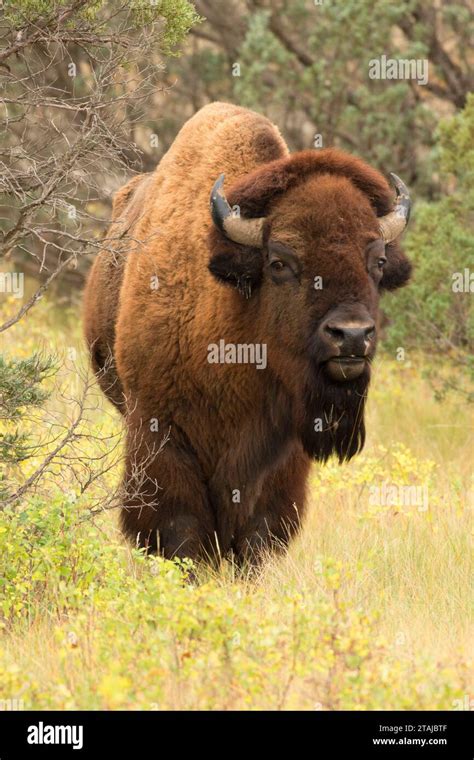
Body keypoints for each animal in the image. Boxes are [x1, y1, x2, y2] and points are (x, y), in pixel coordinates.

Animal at [83, 99, 412, 564]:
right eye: (279, 262)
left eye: (378, 262)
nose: (351, 335)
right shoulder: (159, 433)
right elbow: (182, 530)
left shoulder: (284, 453)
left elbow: (258, 531)